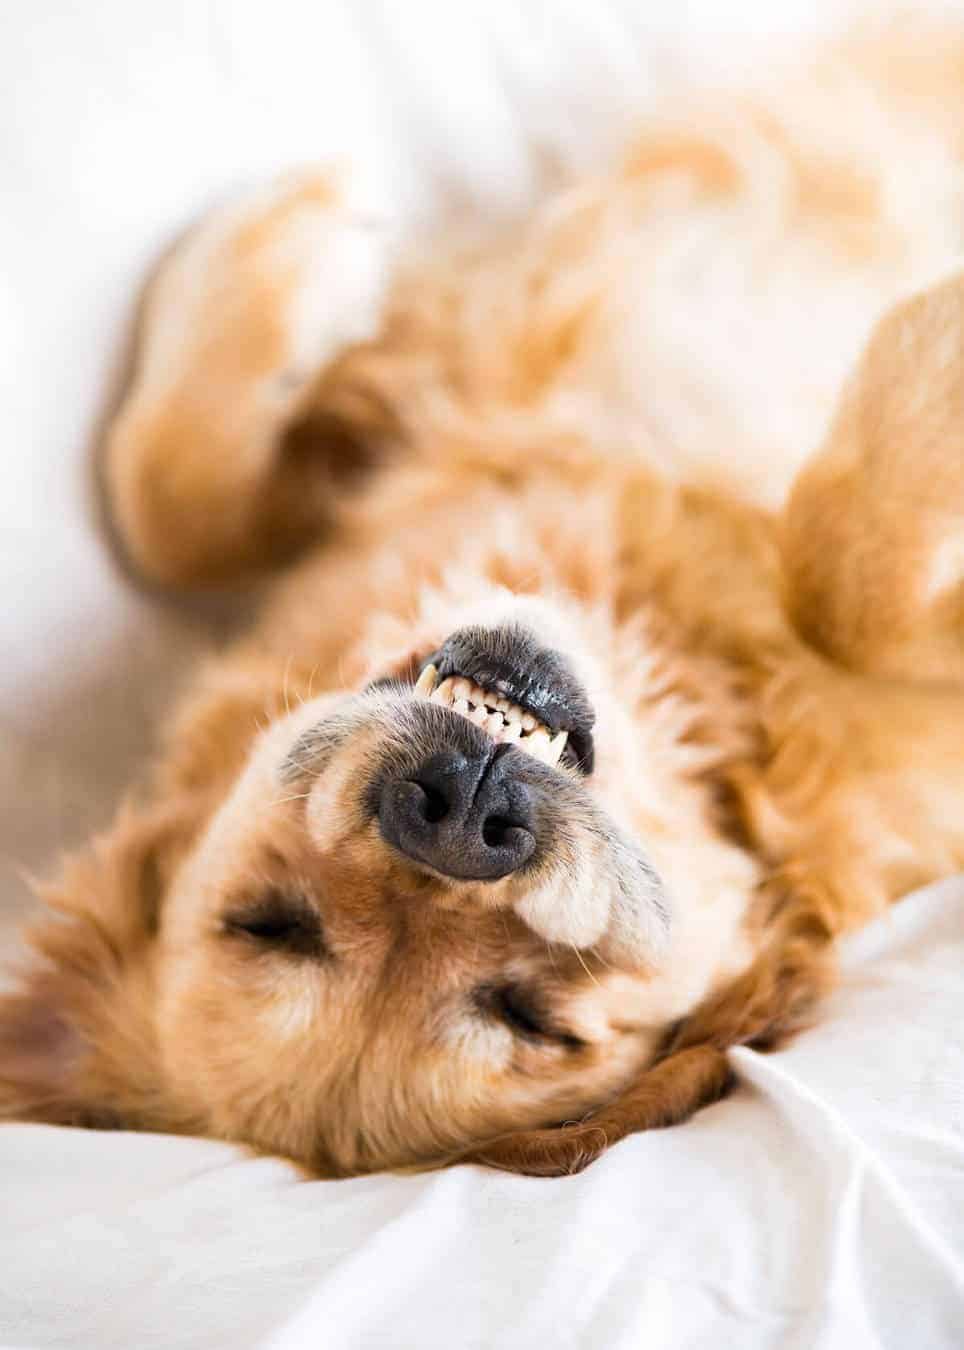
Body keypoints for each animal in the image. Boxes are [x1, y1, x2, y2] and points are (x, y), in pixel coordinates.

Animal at [2, 21, 963, 1177]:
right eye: (270, 920)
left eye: (528, 1016)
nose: (460, 814)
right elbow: (843, 585)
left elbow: (170, 503)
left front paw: (276, 247)